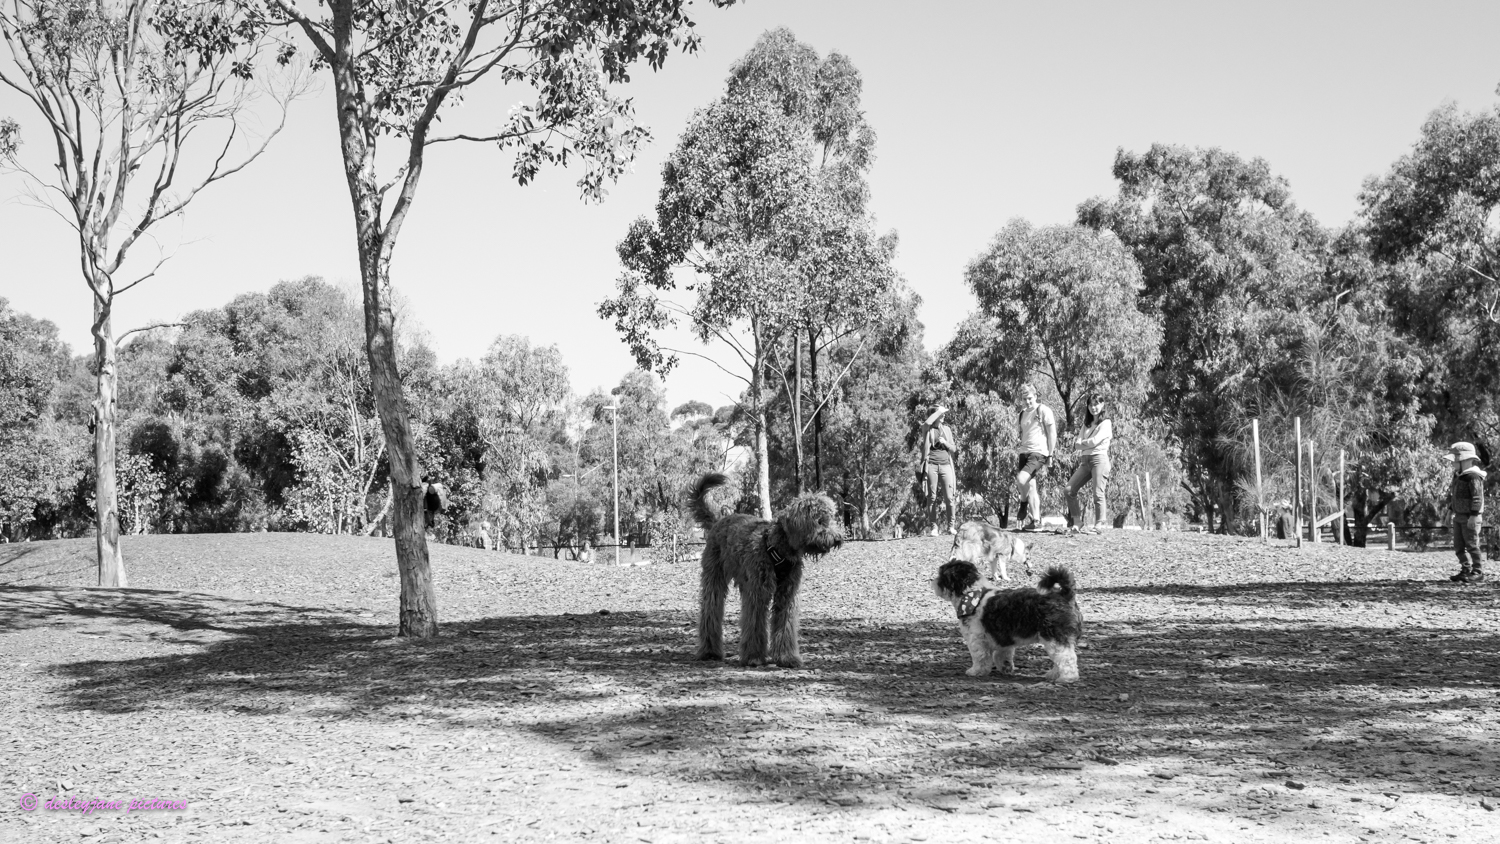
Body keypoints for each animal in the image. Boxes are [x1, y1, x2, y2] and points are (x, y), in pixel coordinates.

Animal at [691, 473, 844, 668]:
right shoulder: (758, 593)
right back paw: (710, 652)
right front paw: (754, 657)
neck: (778, 549)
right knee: (710, 611)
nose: (838, 539)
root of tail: (719, 520)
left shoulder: (787, 595)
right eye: (820, 521)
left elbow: (785, 626)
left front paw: (787, 657)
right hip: (715, 578)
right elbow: (755, 624)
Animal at [931, 559, 1082, 682]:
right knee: (1059, 660)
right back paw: (1053, 674)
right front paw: (1005, 667)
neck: (972, 595)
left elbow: (980, 657)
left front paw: (976, 671)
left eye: (942, 575)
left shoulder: (976, 639)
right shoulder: (1002, 637)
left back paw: (1067, 678)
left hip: (1055, 637)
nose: (933, 581)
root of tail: (1063, 596)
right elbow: (1002, 654)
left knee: (1066, 658)